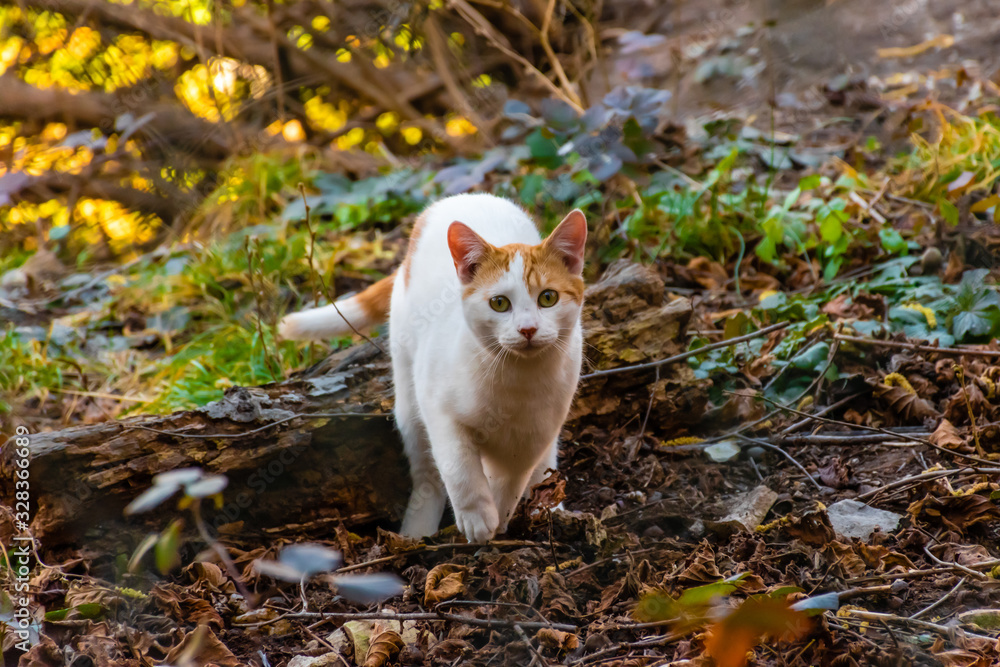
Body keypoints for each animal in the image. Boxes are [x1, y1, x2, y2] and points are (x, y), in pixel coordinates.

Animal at [278, 193, 584, 544]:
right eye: (499, 303)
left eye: (548, 298)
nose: (528, 329)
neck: (516, 383)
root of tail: (463, 196)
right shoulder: (439, 410)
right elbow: (459, 469)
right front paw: (478, 518)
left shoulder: (533, 437)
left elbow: (511, 482)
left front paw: (501, 517)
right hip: (409, 403)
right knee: (427, 473)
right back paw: (416, 532)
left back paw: (548, 506)